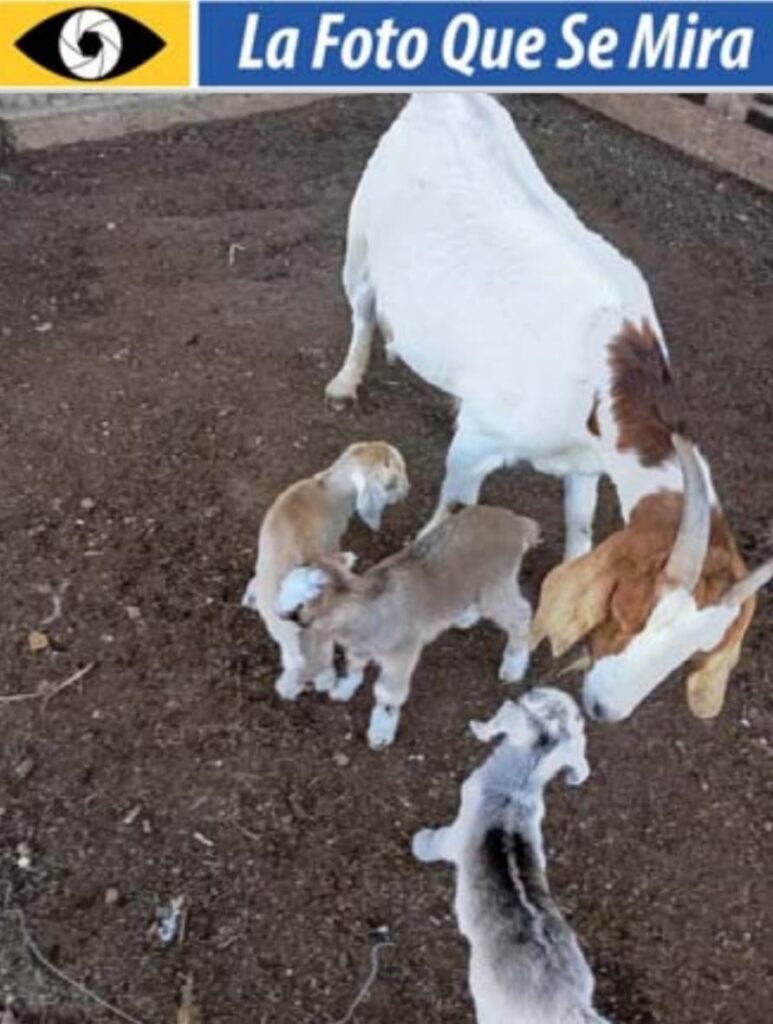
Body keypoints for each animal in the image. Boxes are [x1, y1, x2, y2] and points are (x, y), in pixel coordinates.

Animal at [241, 441, 408, 700]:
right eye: (394, 478)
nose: (407, 490)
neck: (328, 489)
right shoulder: (332, 544)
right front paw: (348, 559)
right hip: (321, 634)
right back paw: (326, 682)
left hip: (281, 629)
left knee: (293, 661)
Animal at [276, 505, 539, 748]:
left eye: (297, 608)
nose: (277, 612)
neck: (366, 613)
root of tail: (516, 523)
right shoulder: (360, 646)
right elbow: (354, 667)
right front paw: (344, 690)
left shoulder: (401, 654)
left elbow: (387, 694)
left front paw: (380, 733)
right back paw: (466, 618)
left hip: (497, 585)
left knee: (520, 615)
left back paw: (513, 666)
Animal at [325, 93, 772, 723]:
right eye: (631, 610)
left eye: (690, 655)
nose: (604, 710)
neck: (604, 364)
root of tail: (447, 97)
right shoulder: (476, 441)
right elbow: (456, 509)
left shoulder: (585, 463)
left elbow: (581, 529)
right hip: (361, 239)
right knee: (362, 308)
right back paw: (345, 381)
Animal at [412, 688, 609, 1024]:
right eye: (573, 716)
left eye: (533, 704)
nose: (537, 690)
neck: (516, 790)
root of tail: (570, 1004)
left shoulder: (456, 833)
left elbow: (436, 842)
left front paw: (419, 843)